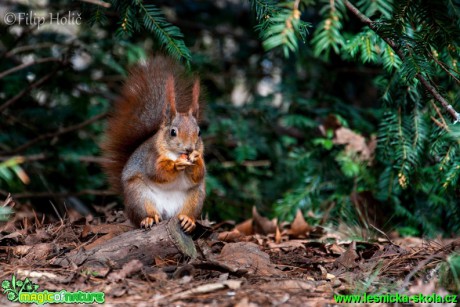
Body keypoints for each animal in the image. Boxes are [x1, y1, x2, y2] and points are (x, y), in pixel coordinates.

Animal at [104, 56, 207, 233]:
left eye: (199, 132)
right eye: (173, 132)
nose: (189, 149)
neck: (175, 153)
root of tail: (167, 214)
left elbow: (200, 173)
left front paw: (195, 159)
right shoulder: (150, 157)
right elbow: (156, 171)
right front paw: (176, 165)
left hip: (196, 195)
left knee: (188, 211)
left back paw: (188, 220)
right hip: (138, 195)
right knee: (144, 214)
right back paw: (149, 219)